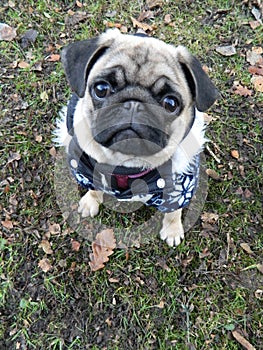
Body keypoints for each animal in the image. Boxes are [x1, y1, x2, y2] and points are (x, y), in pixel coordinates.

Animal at [54, 29, 220, 246]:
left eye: (170, 103)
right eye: (101, 89)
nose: (134, 104)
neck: (126, 165)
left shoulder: (178, 190)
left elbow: (173, 212)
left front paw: (173, 229)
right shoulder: (88, 170)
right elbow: (94, 188)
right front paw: (91, 201)